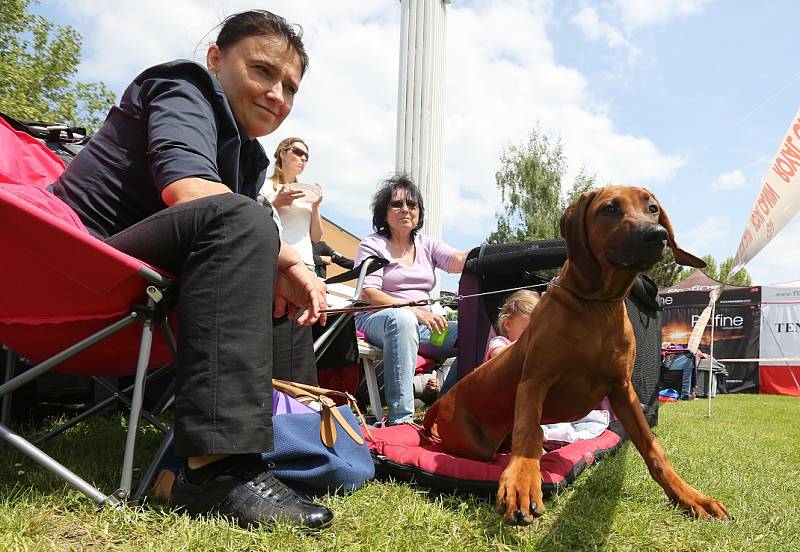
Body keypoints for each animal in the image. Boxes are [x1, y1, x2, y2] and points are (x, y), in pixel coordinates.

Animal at [424, 187, 732, 528]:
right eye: (609, 209)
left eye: (652, 208)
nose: (657, 234)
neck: (596, 305)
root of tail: (442, 401)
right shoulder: (534, 382)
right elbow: (527, 433)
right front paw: (521, 483)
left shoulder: (623, 391)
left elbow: (654, 450)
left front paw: (690, 497)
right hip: (474, 442)